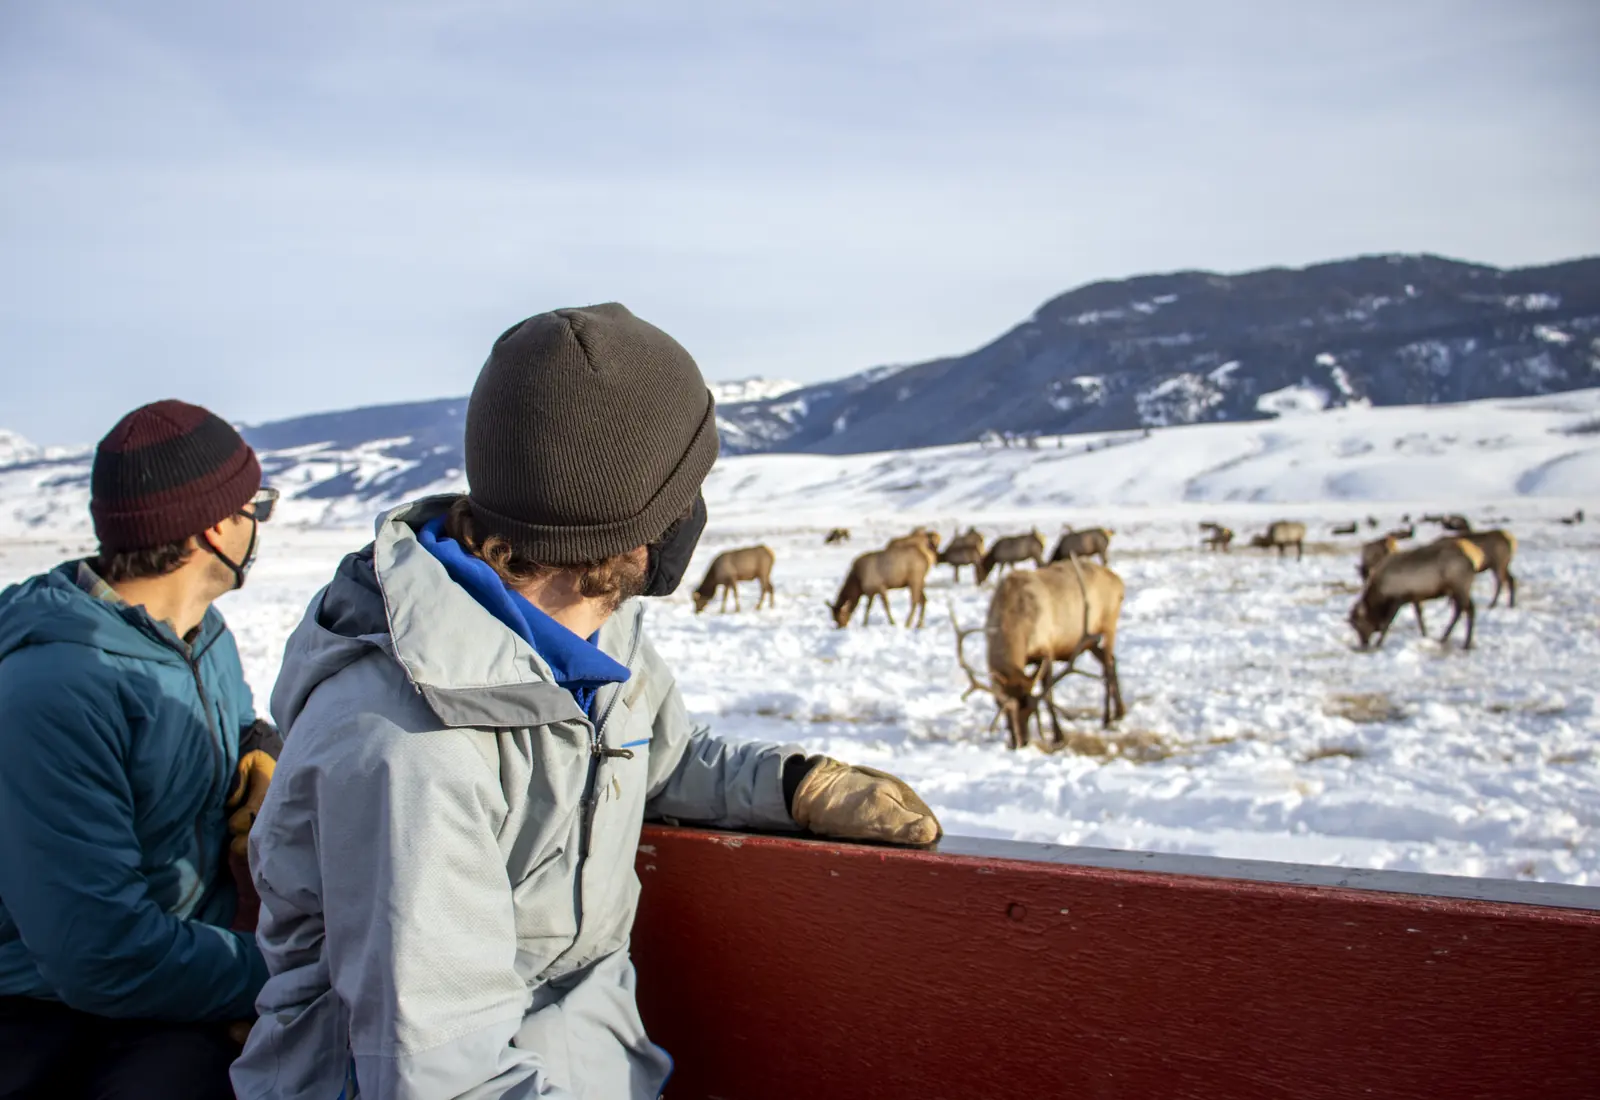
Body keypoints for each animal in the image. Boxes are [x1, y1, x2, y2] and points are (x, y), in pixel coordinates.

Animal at [954, 557, 1127, 750]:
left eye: (1031, 710)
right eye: (1004, 710)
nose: (1021, 742)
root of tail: (1118, 581)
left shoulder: (1047, 649)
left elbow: (1047, 693)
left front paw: (1059, 736)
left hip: (1109, 624)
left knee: (1108, 666)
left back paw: (1108, 719)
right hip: (1090, 640)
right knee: (1111, 660)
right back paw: (1118, 712)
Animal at [1349, 538, 1485, 651]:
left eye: (1358, 624)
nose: (1363, 643)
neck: (1380, 595)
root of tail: (1472, 562)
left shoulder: (1397, 599)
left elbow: (1387, 623)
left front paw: (1378, 643)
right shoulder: (1415, 597)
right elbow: (1420, 617)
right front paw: (1425, 635)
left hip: (1458, 587)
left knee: (1464, 610)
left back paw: (1450, 639)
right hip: (1459, 589)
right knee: (1466, 609)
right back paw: (1460, 642)